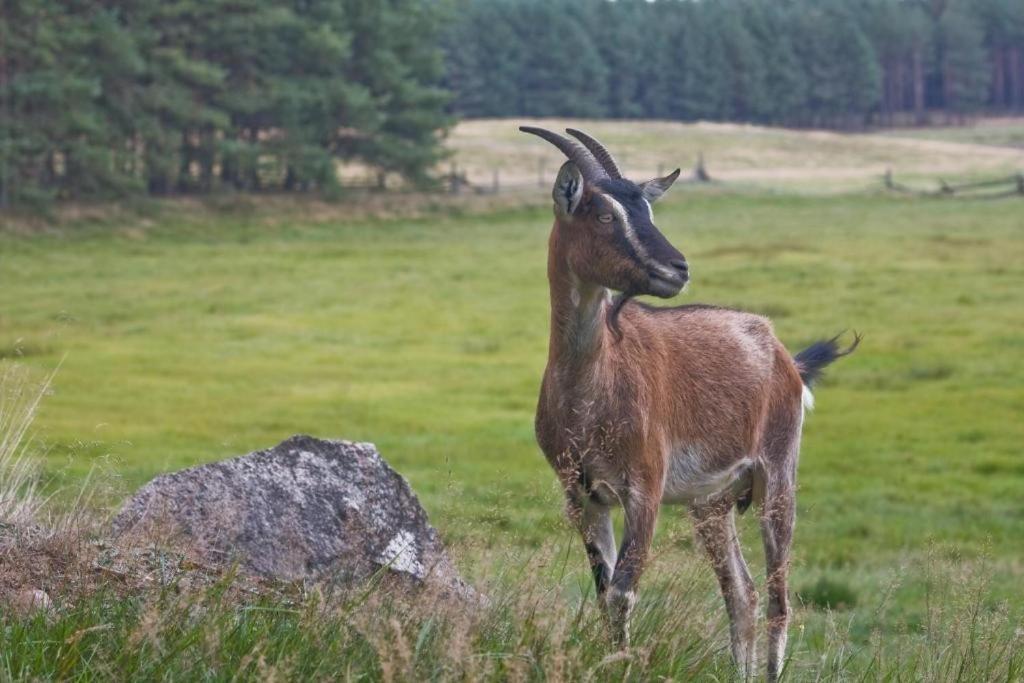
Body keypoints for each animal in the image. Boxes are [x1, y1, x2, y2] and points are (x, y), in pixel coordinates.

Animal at [520, 126, 856, 679]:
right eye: (604, 214)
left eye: (648, 211)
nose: (677, 268)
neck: (589, 394)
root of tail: (782, 353)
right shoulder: (582, 493)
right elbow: (603, 592)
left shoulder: (645, 487)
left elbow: (623, 593)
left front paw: (621, 665)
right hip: (712, 503)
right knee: (741, 594)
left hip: (778, 475)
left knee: (779, 598)